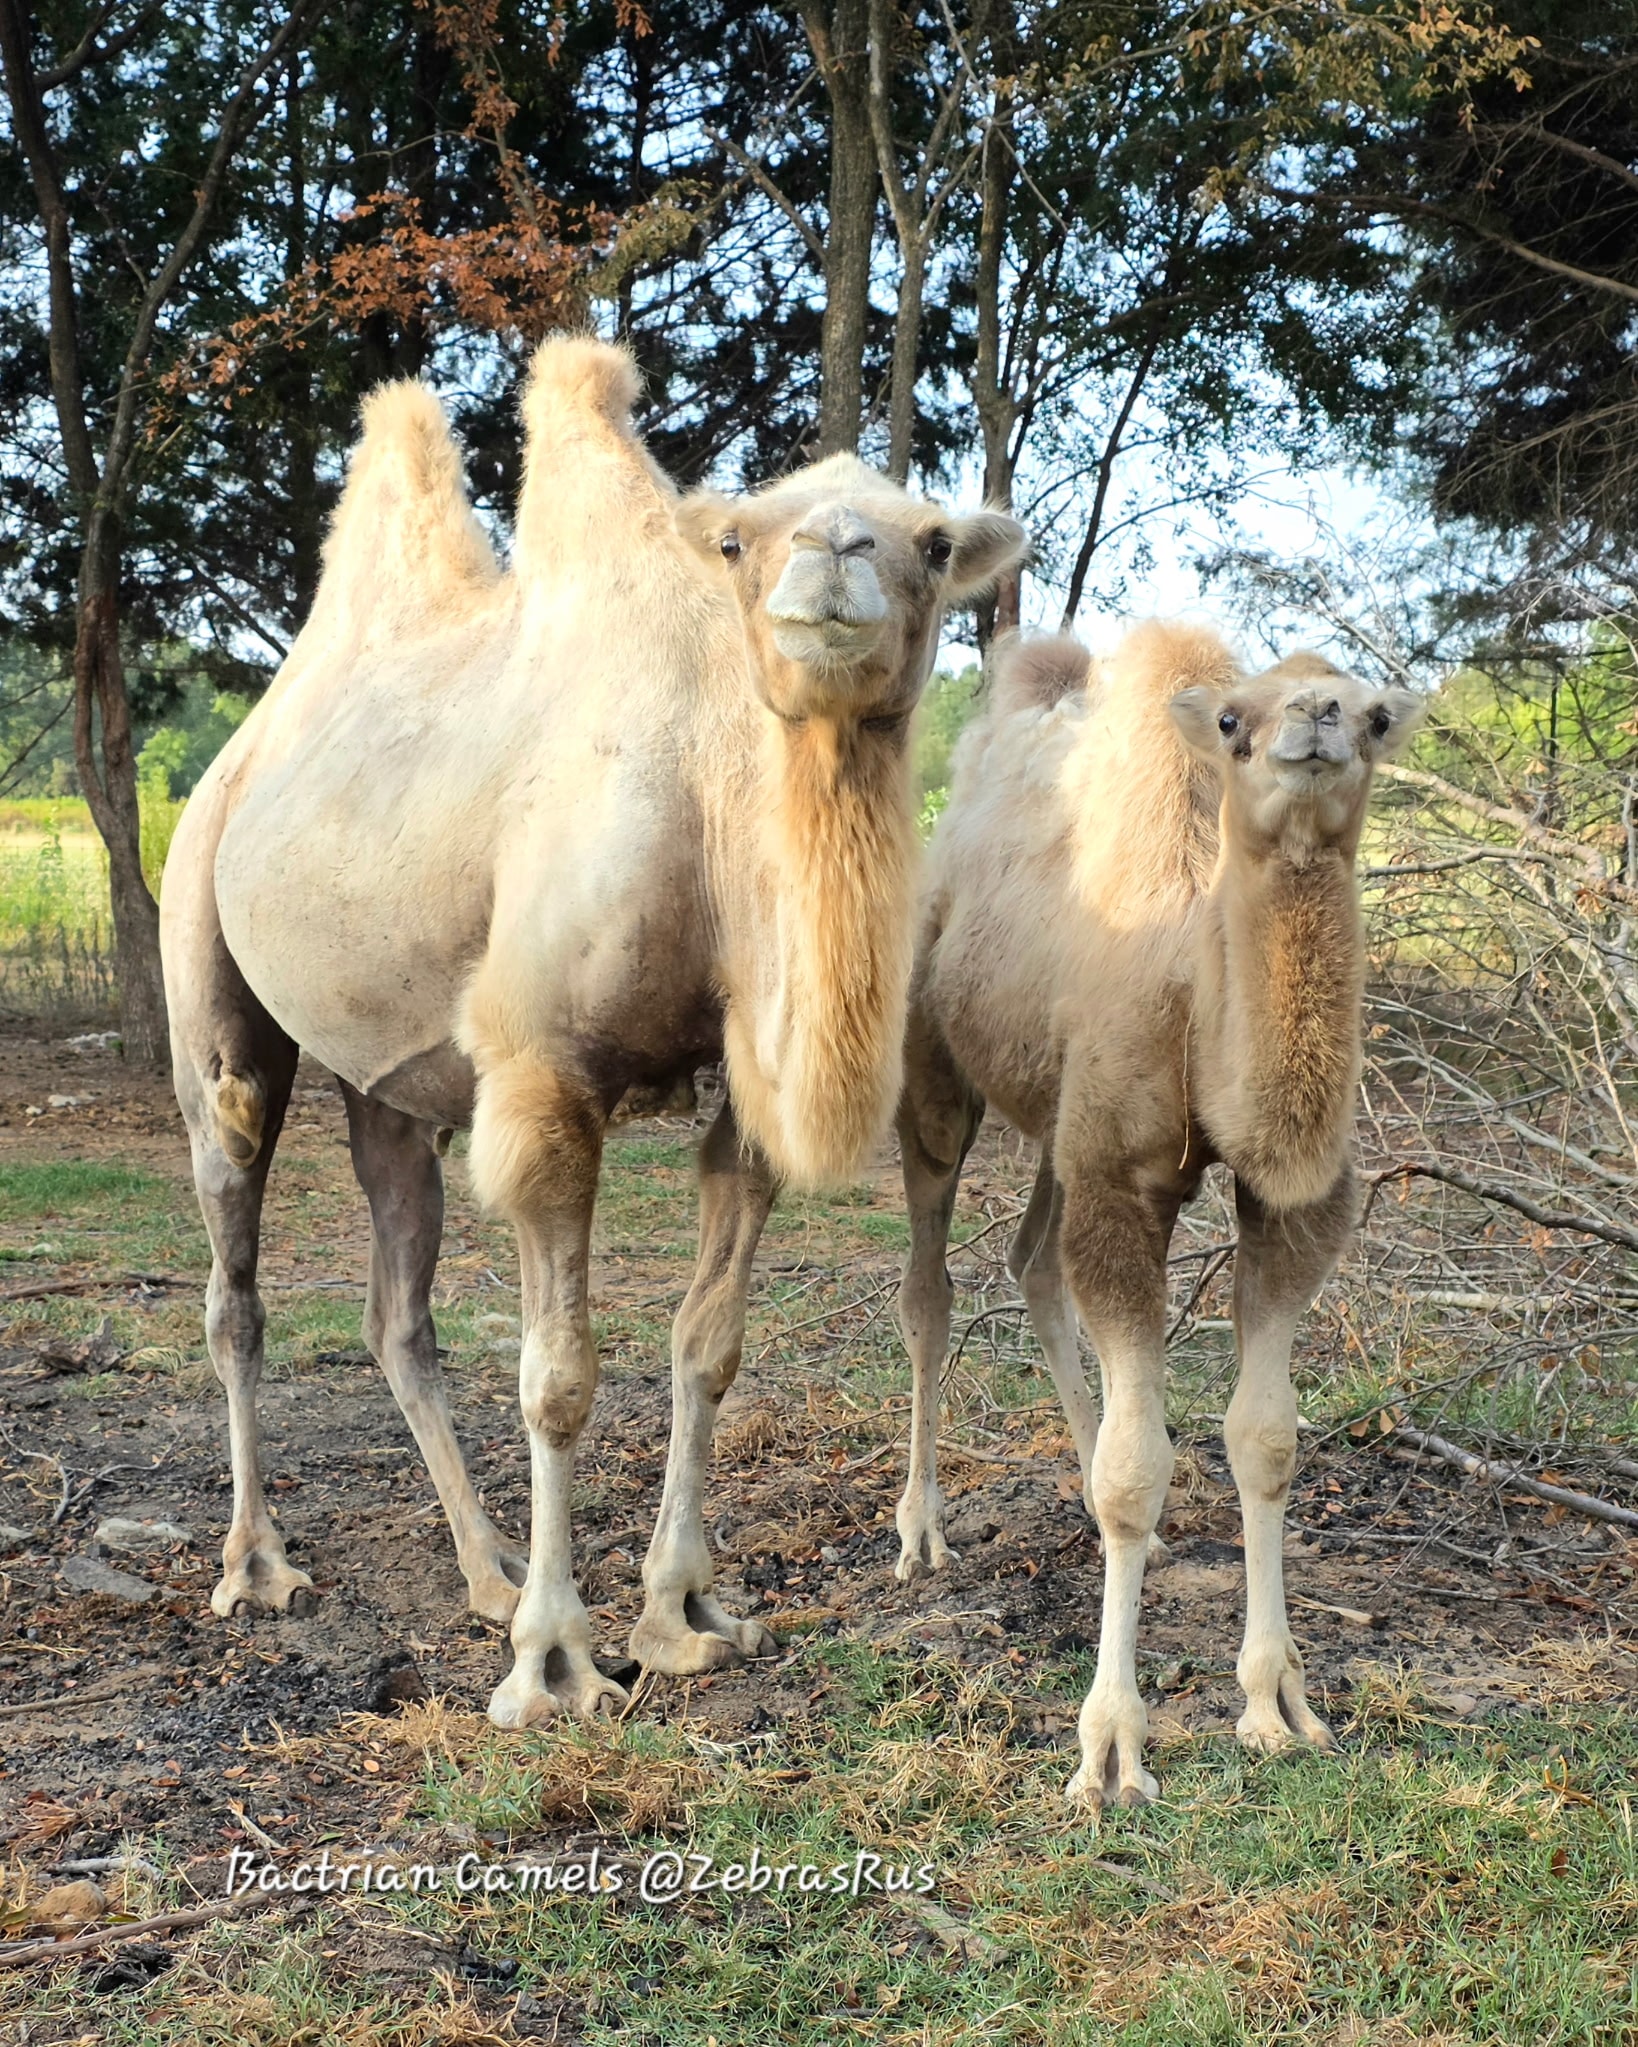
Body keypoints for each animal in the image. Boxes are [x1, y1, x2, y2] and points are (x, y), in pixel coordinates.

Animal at [161, 336, 1025, 1729]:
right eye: (738, 538)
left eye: (934, 540)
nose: (834, 553)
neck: (713, 797)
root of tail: (244, 750)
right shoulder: (543, 1077)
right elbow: (558, 1378)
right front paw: (556, 1663)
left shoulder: (739, 1091)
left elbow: (707, 1345)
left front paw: (686, 1616)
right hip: (205, 943)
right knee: (234, 1254)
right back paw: (260, 1567)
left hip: (389, 1081)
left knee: (397, 1310)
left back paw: (486, 1567)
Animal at [892, 620, 1423, 1804]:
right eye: (1232, 718)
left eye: (1375, 713)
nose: (1315, 716)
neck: (1196, 976)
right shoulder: (1121, 1187)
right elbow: (1135, 1474)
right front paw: (1110, 1752)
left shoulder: (1292, 1205)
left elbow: (1262, 1437)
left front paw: (1279, 1705)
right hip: (935, 1067)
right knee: (930, 1286)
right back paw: (921, 1534)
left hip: (1058, 1114)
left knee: (1033, 1262)